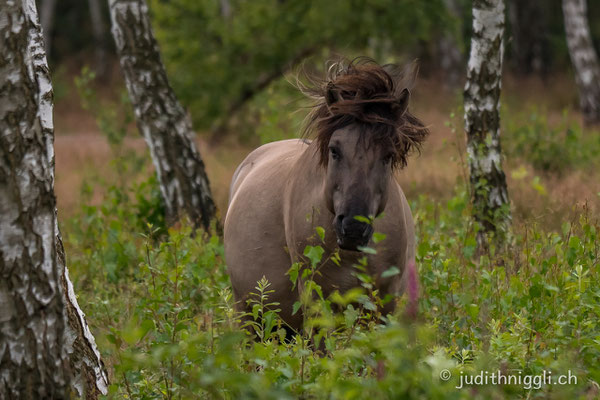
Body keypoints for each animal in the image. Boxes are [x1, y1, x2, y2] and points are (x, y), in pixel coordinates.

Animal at [224, 59, 426, 332]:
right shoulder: (316, 300)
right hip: (247, 314)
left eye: (388, 155)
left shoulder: (384, 304)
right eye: (334, 150)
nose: (353, 228)